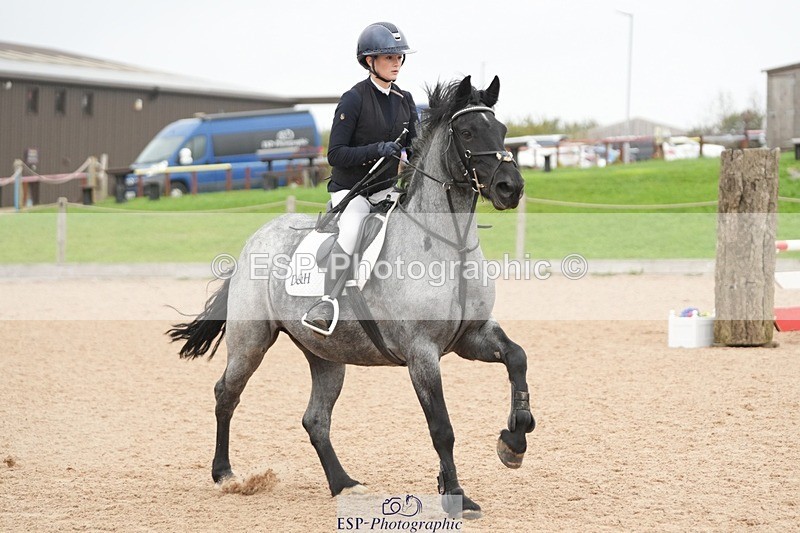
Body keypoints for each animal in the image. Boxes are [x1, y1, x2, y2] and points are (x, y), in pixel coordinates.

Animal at [168, 75, 535, 519]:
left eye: (501, 130)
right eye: (466, 133)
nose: (510, 188)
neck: (450, 245)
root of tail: (255, 238)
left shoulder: (472, 335)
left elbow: (517, 358)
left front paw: (514, 441)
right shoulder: (422, 353)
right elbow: (441, 428)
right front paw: (456, 496)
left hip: (326, 355)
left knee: (315, 419)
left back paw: (343, 483)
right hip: (250, 341)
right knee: (227, 394)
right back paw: (224, 474)